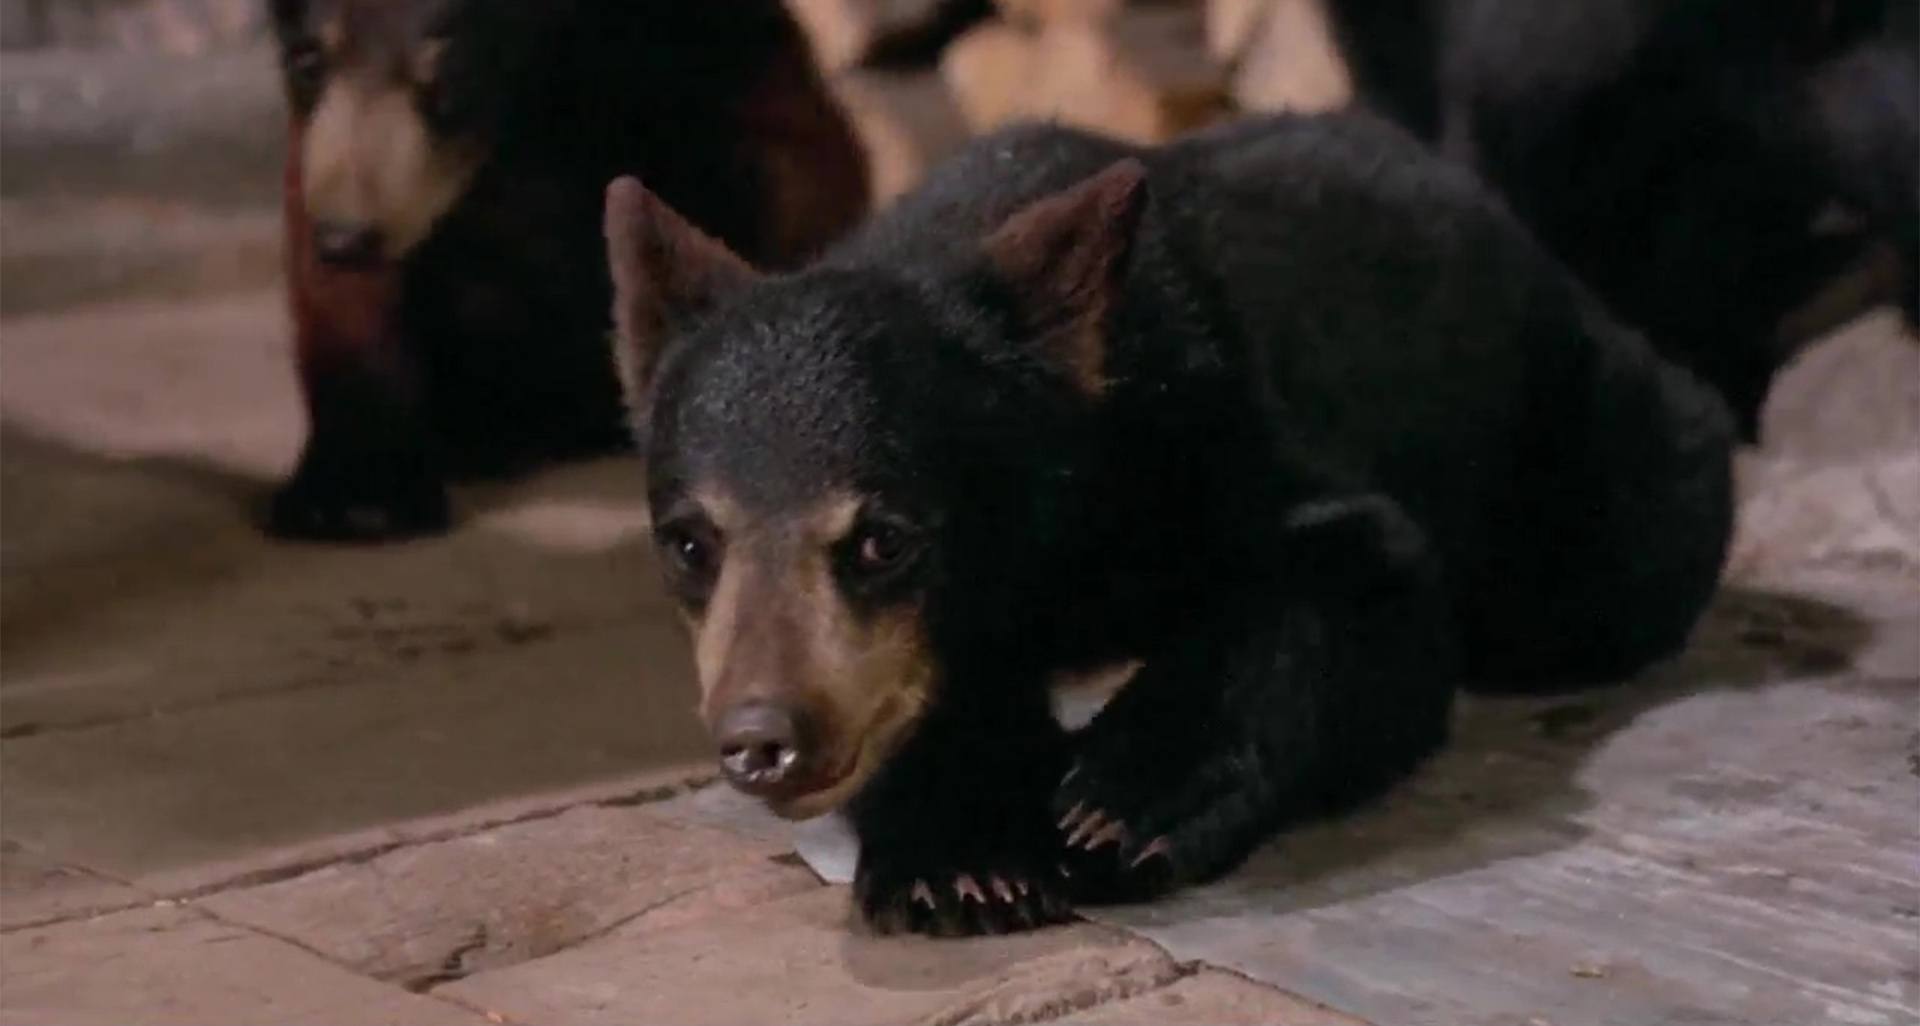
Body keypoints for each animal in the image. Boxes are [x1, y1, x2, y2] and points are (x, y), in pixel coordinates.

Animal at [603, 112, 1735, 935]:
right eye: (690, 543)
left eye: (883, 536)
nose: (763, 739)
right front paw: (959, 852)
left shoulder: (1208, 424)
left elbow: (1361, 579)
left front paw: (1120, 801)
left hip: (1584, 474)